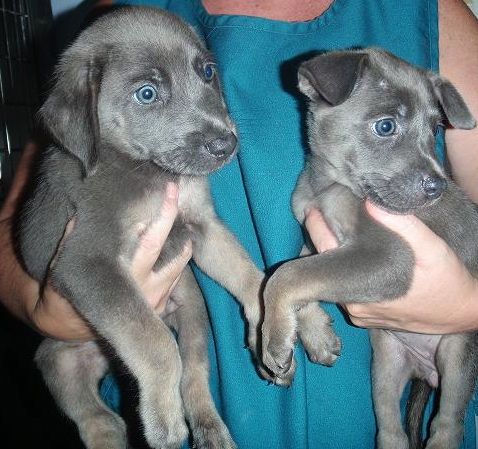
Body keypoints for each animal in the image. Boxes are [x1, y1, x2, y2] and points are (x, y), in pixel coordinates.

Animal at [17, 7, 266, 448]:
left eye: (207, 72)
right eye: (147, 93)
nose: (226, 145)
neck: (147, 173)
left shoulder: (201, 226)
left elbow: (248, 274)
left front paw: (295, 322)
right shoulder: (85, 260)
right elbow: (154, 341)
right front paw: (163, 420)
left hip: (192, 306)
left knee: (195, 374)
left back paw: (209, 427)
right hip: (57, 358)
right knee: (99, 420)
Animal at [262, 47, 478, 446]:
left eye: (435, 130)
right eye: (386, 126)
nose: (438, 187)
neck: (328, 185)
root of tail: (425, 372)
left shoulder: (389, 256)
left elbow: (288, 276)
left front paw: (274, 339)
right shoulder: (317, 239)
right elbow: (295, 270)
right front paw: (317, 335)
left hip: (457, 355)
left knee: (447, 425)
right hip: (385, 368)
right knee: (392, 430)